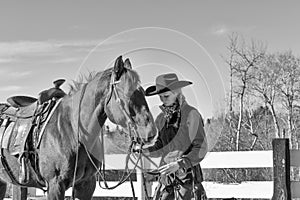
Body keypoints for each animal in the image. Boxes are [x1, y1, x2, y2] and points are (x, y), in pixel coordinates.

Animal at [0, 55, 156, 199]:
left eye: (143, 92)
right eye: (127, 93)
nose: (151, 132)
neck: (73, 130)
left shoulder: (86, 185)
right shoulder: (55, 185)